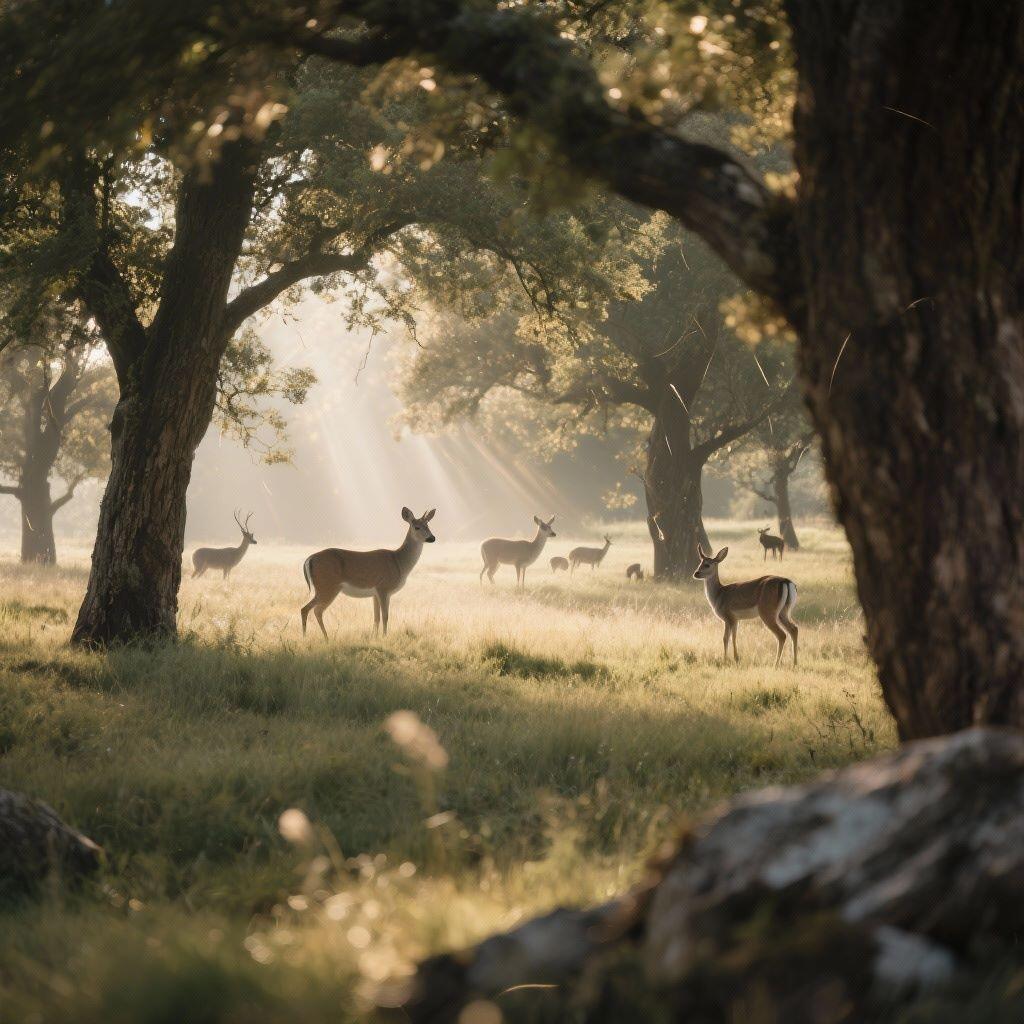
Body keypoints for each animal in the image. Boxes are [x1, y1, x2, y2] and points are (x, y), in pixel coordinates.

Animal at [300, 507, 436, 639]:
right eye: (416, 527)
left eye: (428, 525)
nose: (432, 538)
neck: (399, 563)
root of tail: (309, 559)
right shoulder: (383, 588)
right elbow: (385, 616)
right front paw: (384, 637)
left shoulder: (375, 593)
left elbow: (376, 617)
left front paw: (374, 637)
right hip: (327, 586)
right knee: (311, 610)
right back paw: (316, 638)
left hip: (324, 588)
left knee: (311, 610)